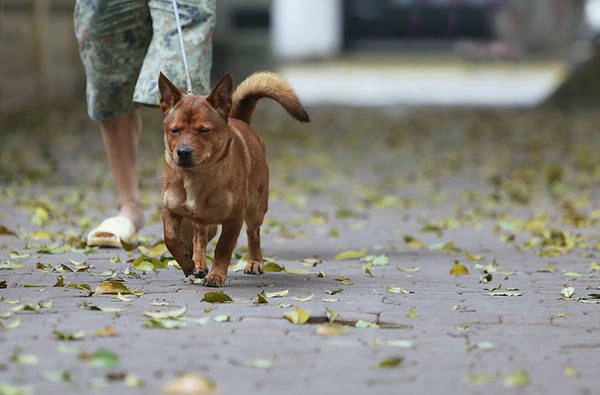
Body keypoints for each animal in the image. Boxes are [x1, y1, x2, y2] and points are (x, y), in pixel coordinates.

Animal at [158, 72, 308, 288]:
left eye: (204, 130)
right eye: (175, 130)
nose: (183, 152)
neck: (195, 176)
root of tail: (240, 120)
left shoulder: (234, 219)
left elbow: (223, 247)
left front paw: (216, 276)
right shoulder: (169, 210)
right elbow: (170, 238)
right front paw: (188, 264)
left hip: (255, 209)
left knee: (253, 234)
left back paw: (254, 262)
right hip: (201, 220)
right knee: (199, 236)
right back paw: (199, 262)